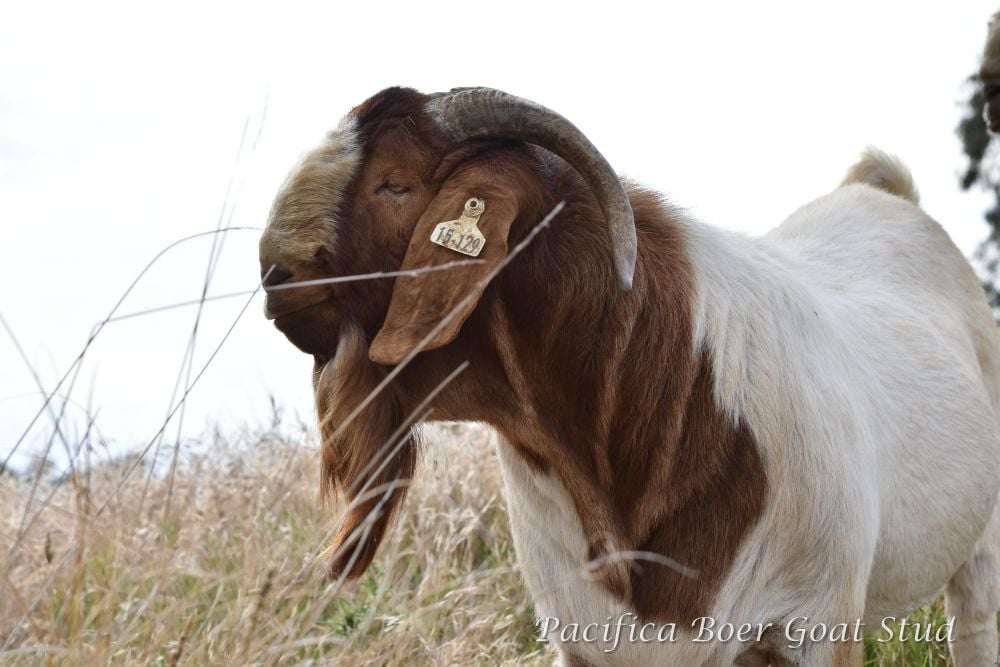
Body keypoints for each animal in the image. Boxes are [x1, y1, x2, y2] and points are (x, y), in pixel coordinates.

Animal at [259, 87, 1000, 666]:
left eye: (396, 182)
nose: (273, 272)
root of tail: (887, 195)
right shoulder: (587, 639)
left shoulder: (815, 624)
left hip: (980, 559)